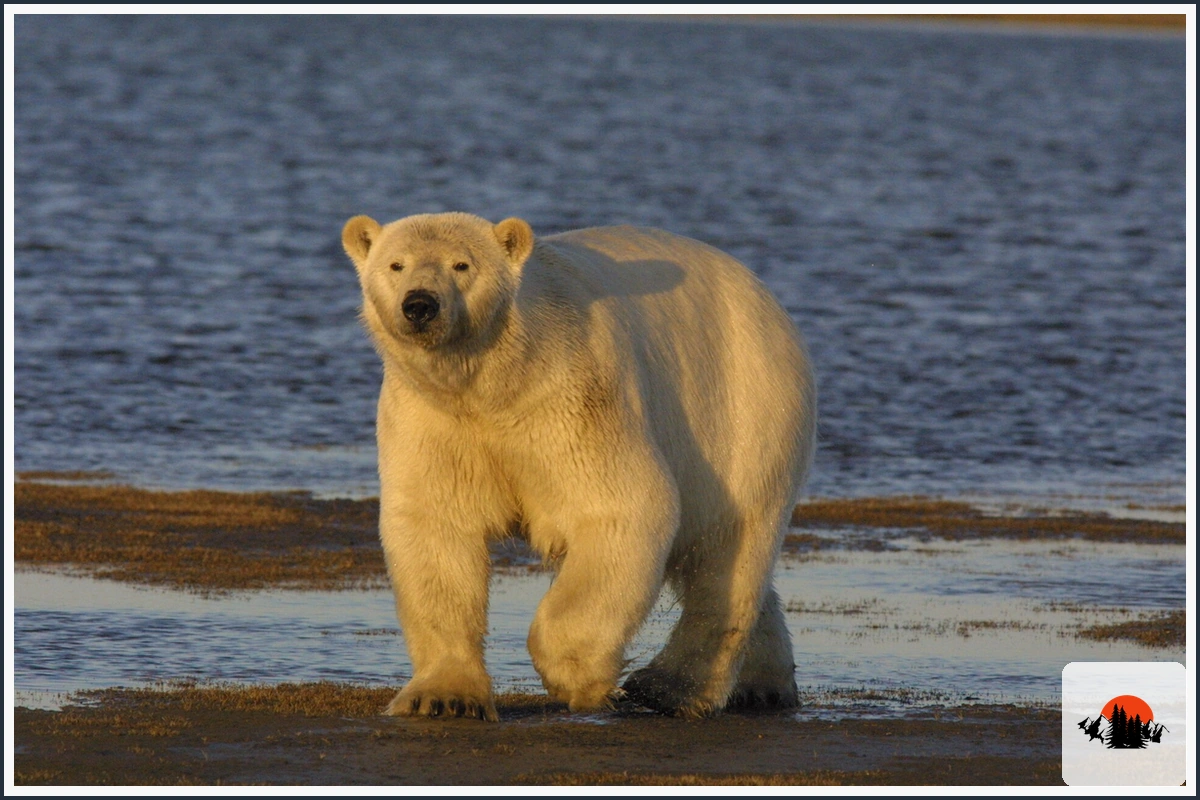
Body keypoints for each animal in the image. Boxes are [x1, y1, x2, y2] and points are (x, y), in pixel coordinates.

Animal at [342, 211, 816, 720]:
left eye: (461, 264)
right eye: (396, 264)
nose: (420, 305)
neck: (495, 381)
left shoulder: (571, 398)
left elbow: (621, 508)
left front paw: (580, 679)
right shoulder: (433, 421)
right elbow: (436, 529)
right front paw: (444, 697)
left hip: (743, 410)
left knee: (729, 546)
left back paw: (669, 688)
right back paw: (762, 684)